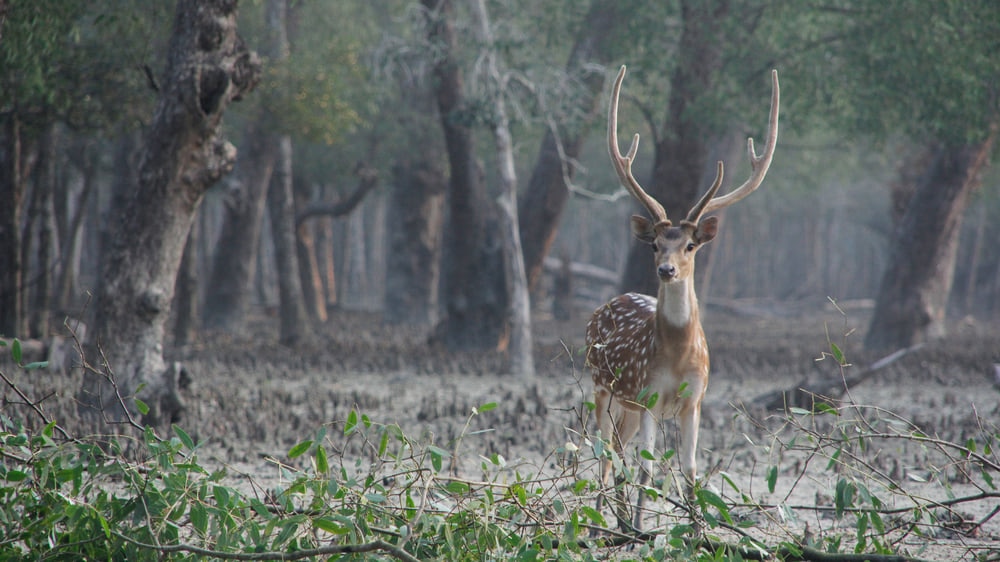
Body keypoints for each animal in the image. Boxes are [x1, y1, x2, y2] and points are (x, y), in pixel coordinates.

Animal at [584, 65, 780, 528]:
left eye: (690, 245)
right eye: (655, 245)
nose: (666, 269)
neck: (676, 358)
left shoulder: (695, 401)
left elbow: (690, 469)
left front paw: (696, 528)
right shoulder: (649, 395)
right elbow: (648, 467)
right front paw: (642, 529)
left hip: (626, 405)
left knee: (617, 450)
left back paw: (618, 518)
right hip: (602, 387)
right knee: (605, 453)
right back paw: (604, 520)